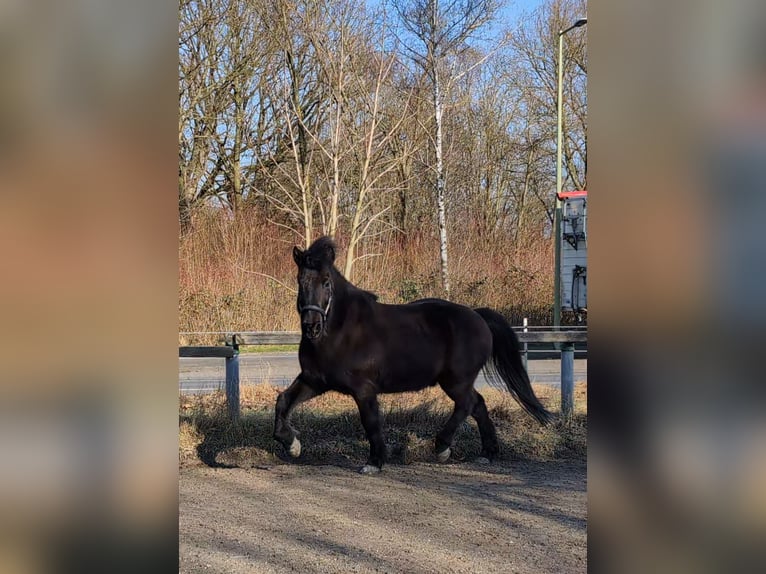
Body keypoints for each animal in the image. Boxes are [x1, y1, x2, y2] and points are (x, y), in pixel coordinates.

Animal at [274, 236, 552, 474]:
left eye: (326, 282)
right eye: (300, 281)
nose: (311, 326)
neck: (340, 332)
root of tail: (477, 316)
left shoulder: (364, 390)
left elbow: (370, 422)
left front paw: (374, 462)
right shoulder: (315, 380)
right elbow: (283, 402)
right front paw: (292, 445)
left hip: (456, 380)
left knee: (467, 404)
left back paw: (442, 447)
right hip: (457, 381)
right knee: (479, 404)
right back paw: (486, 453)